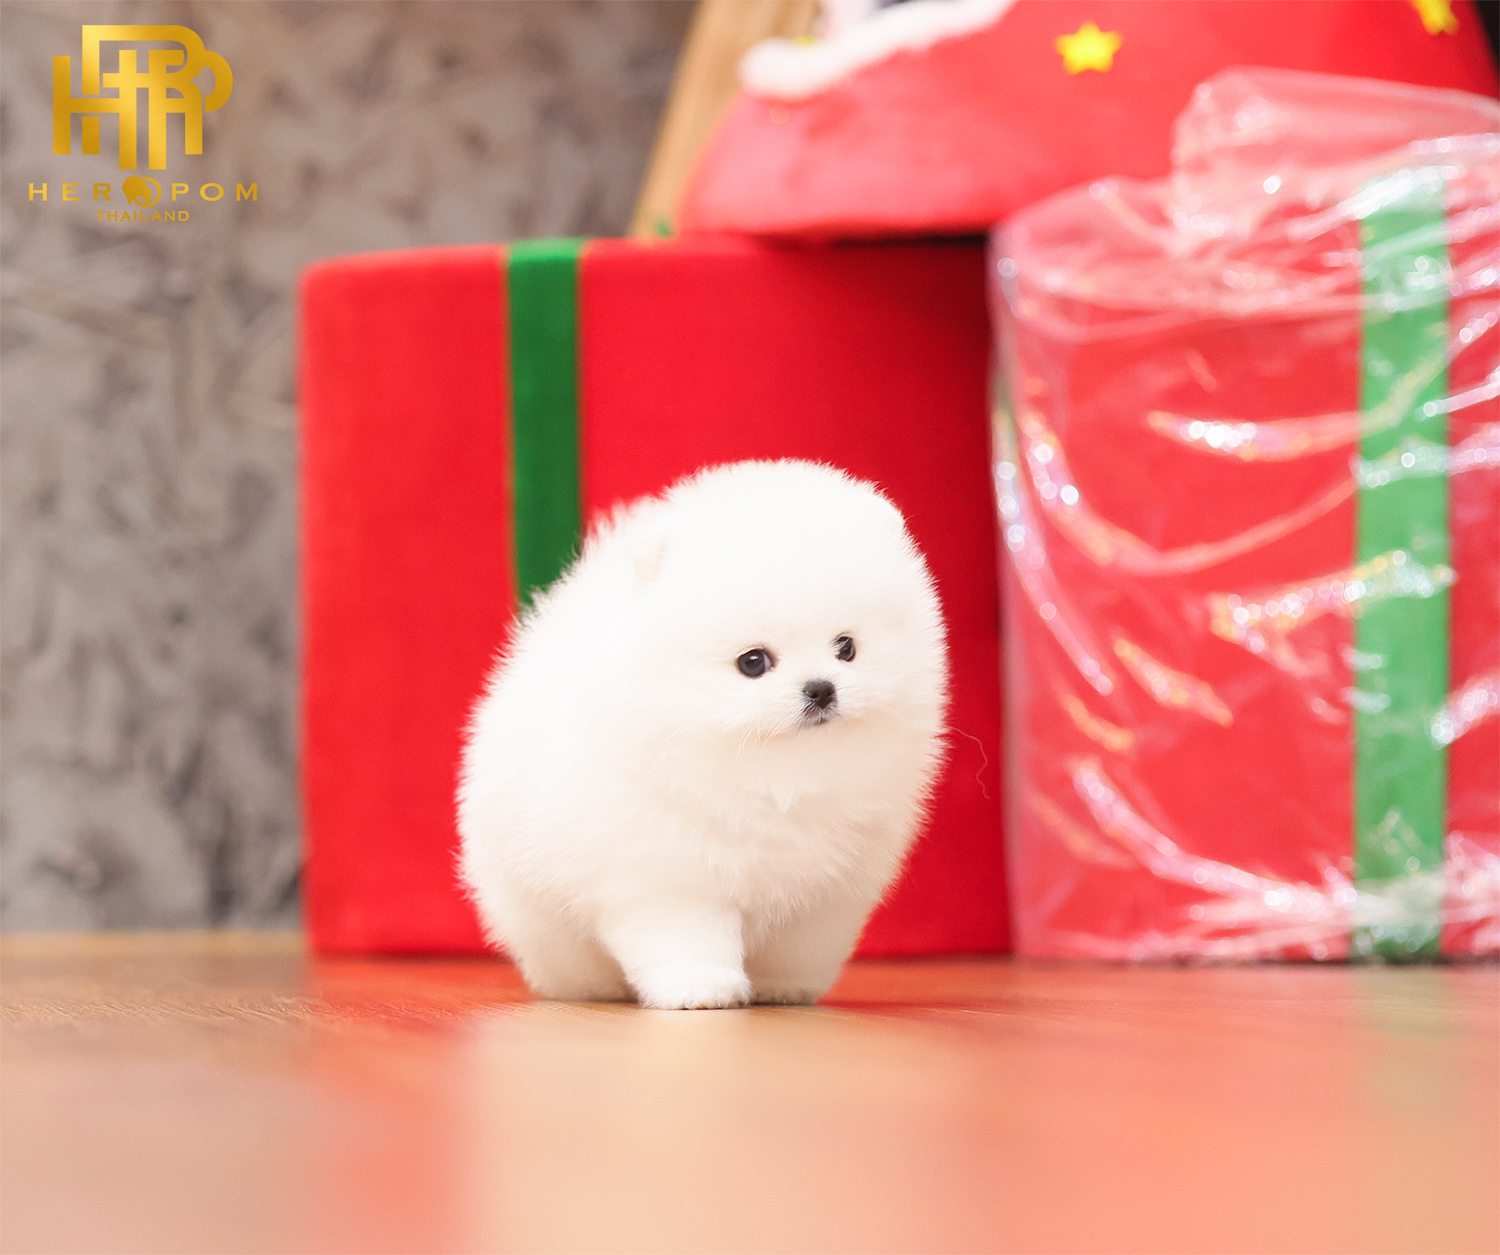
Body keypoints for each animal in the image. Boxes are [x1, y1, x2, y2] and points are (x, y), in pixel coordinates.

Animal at [458, 460, 948, 1008]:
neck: (777, 779)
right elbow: (684, 935)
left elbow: (800, 943)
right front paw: (699, 988)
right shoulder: (666, 876)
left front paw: (785, 986)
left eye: (847, 648)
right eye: (753, 662)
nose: (820, 689)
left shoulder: (826, 890)